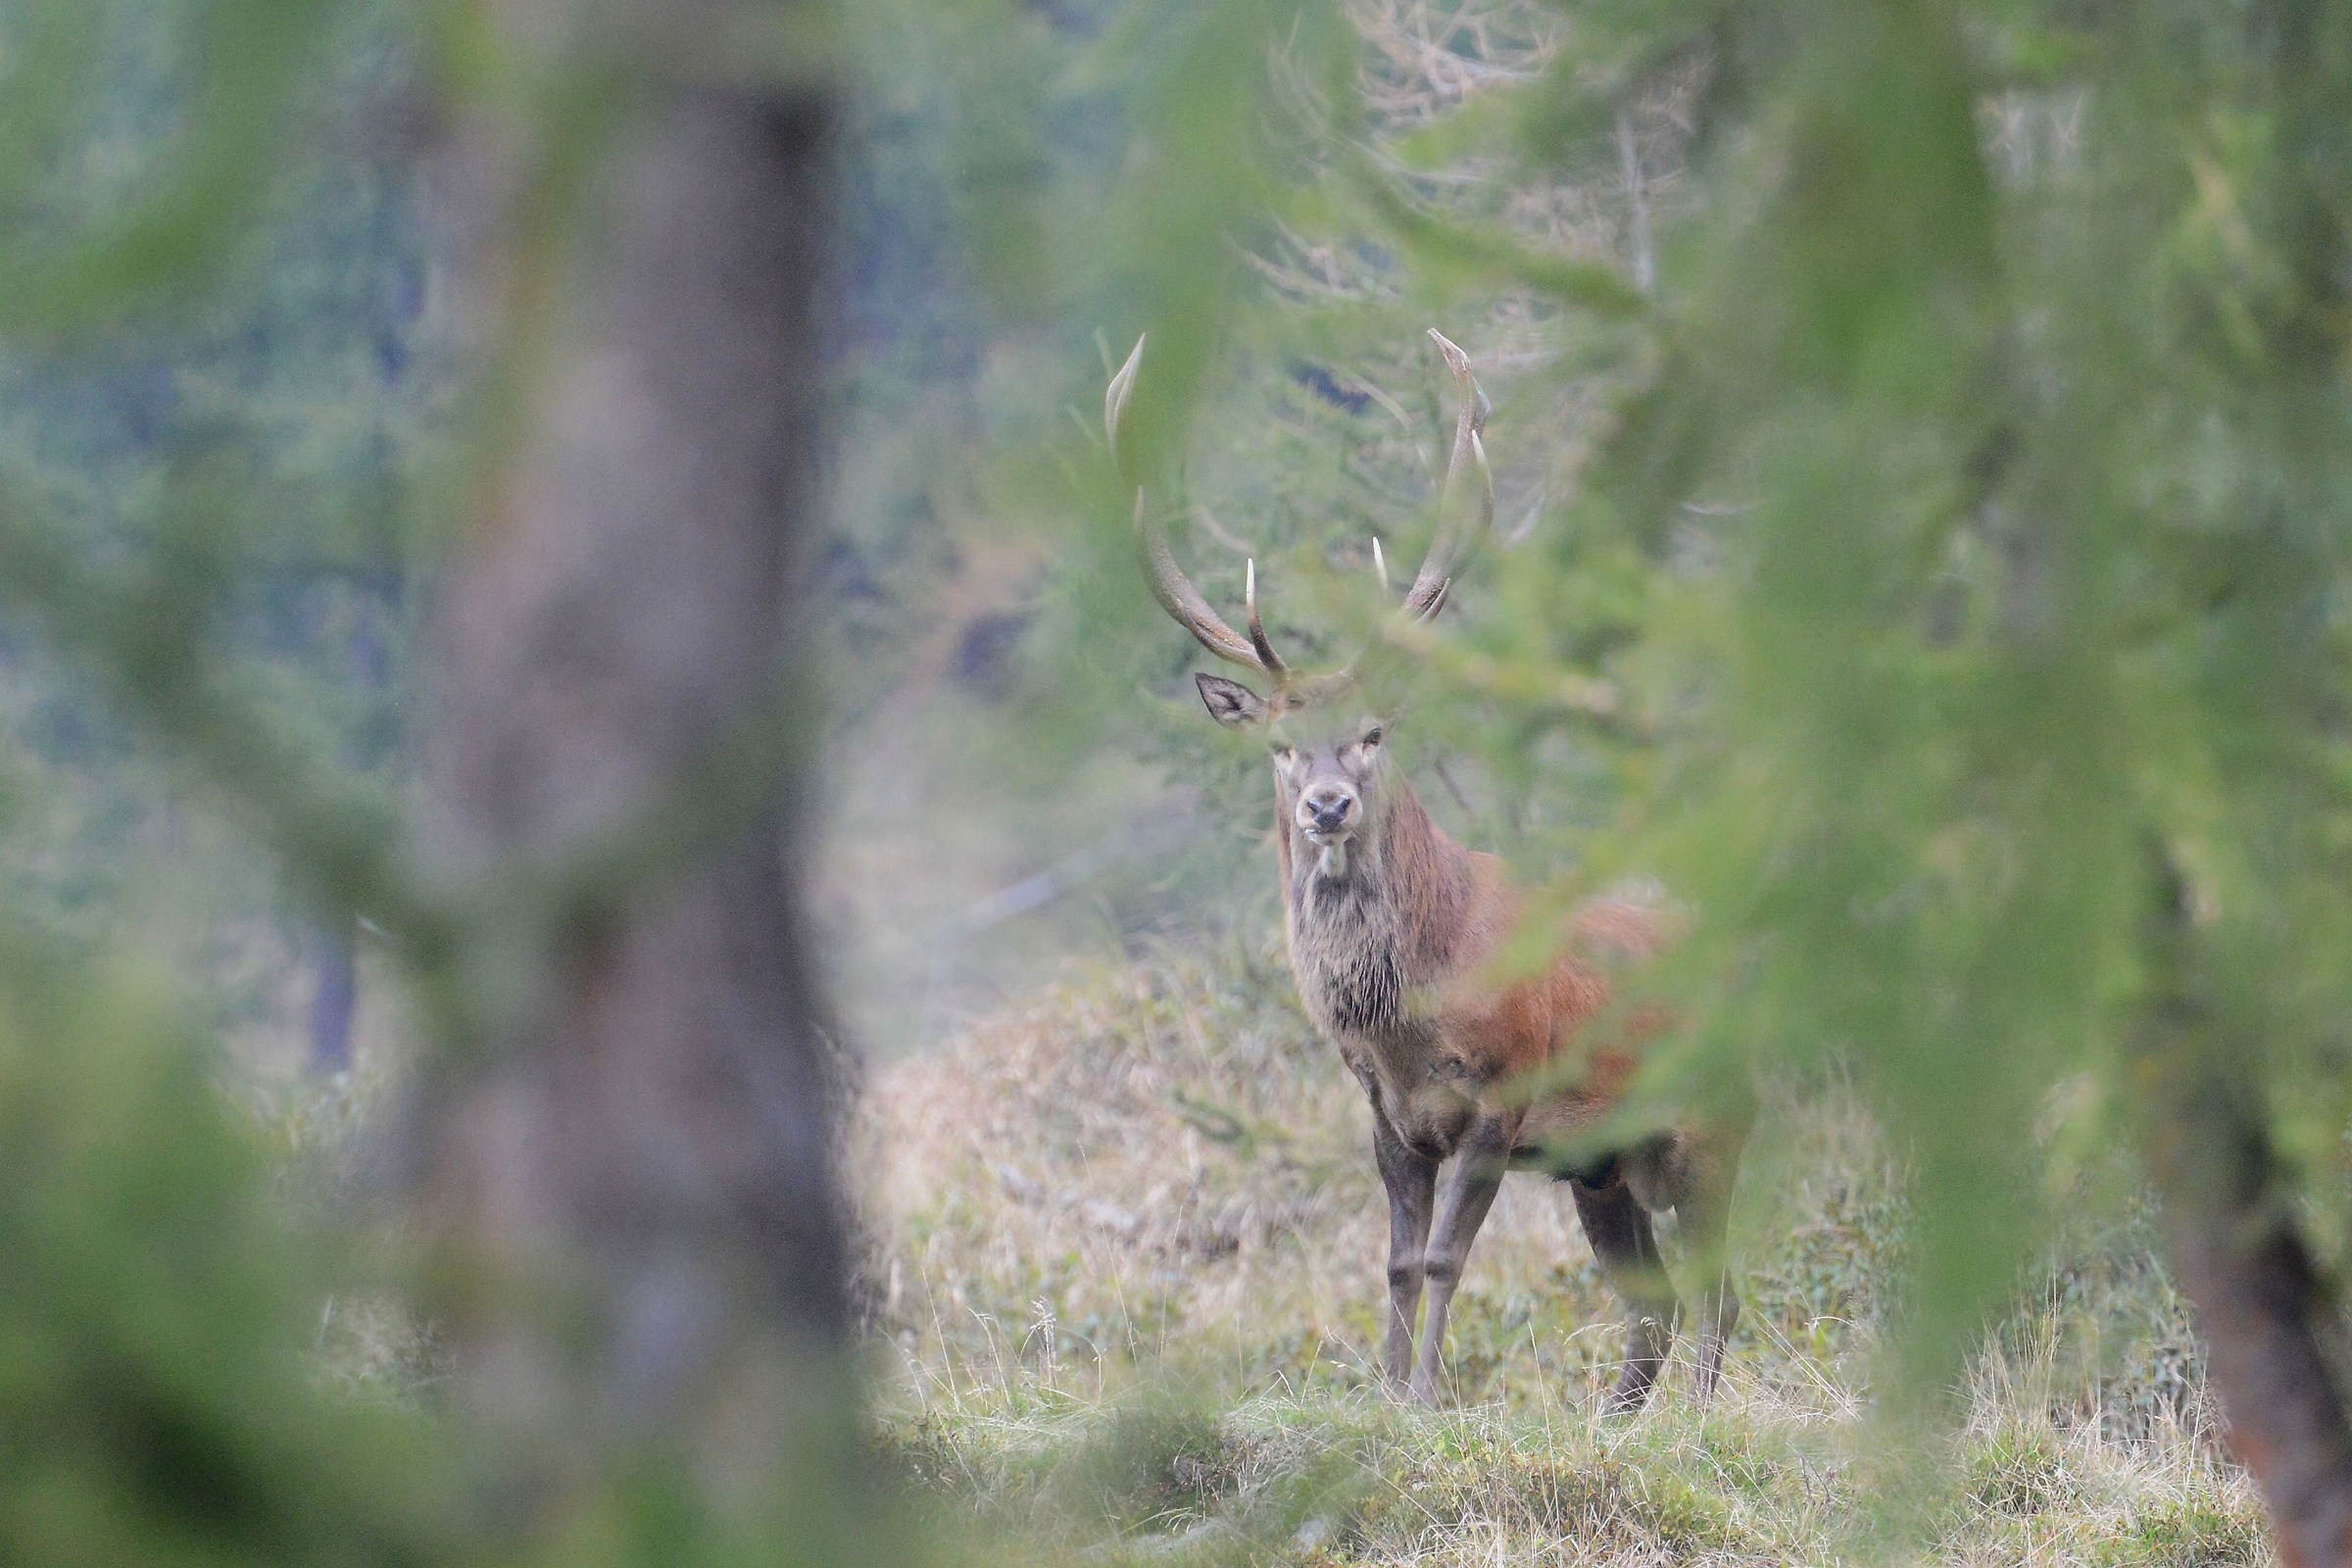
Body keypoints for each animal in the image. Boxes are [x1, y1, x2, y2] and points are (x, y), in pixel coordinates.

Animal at [1108, 329, 1748, 1410]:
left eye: (1370, 733)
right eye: (1281, 745)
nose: (1328, 803)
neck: (1408, 1013)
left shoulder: (1502, 1096)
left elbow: (1448, 1260)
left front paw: (1422, 1401)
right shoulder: (1389, 1118)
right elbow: (1398, 1262)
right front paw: (1384, 1393)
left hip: (1707, 1130)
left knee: (1716, 1295)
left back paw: (1695, 1423)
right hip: (1603, 1165)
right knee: (1655, 1306)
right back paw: (1621, 1425)